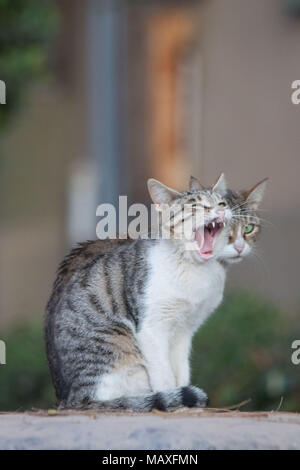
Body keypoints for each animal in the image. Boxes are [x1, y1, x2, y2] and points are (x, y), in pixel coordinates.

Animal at [45, 173, 268, 412]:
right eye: (196, 206)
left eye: (221, 204)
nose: (219, 211)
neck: (193, 270)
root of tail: (69, 399)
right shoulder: (151, 329)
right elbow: (164, 376)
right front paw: (174, 402)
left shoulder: (185, 331)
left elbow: (181, 373)